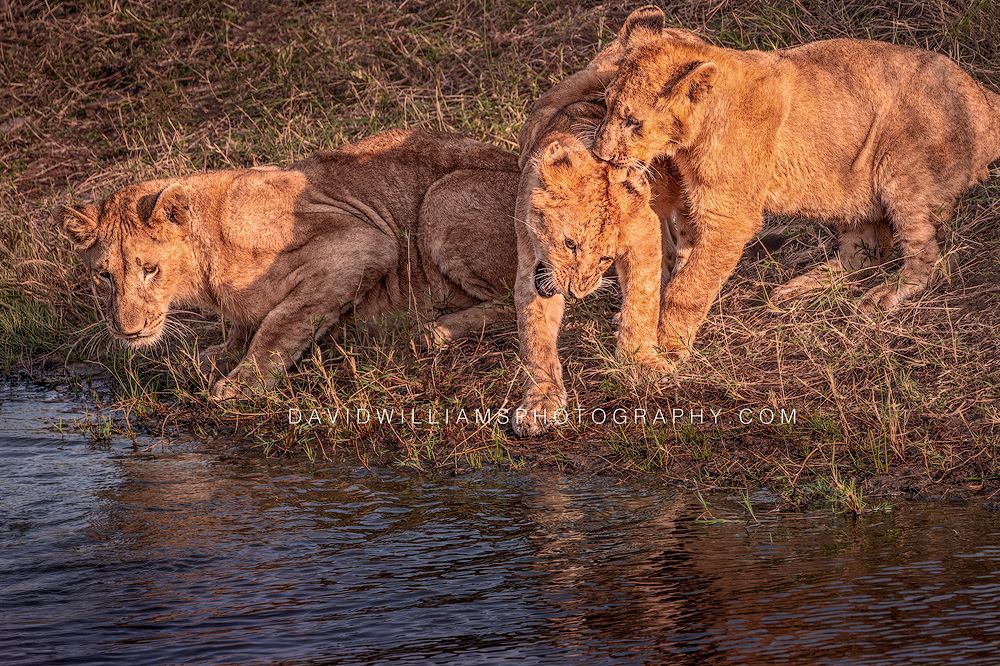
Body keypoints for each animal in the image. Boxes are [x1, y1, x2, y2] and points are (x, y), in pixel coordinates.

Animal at [61, 129, 520, 399]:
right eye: (104, 276)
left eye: (150, 269)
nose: (128, 331)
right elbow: (246, 327)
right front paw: (219, 353)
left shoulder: (364, 243)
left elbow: (282, 322)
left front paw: (242, 383)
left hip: (444, 196)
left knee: (518, 302)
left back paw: (434, 331)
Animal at [593, 6, 1000, 357]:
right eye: (607, 103)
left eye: (633, 122)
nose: (599, 152)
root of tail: (984, 95)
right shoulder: (698, 207)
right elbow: (681, 263)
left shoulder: (731, 217)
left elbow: (690, 286)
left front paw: (669, 345)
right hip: (846, 186)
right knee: (864, 255)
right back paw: (799, 288)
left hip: (901, 168)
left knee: (927, 257)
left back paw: (887, 293)